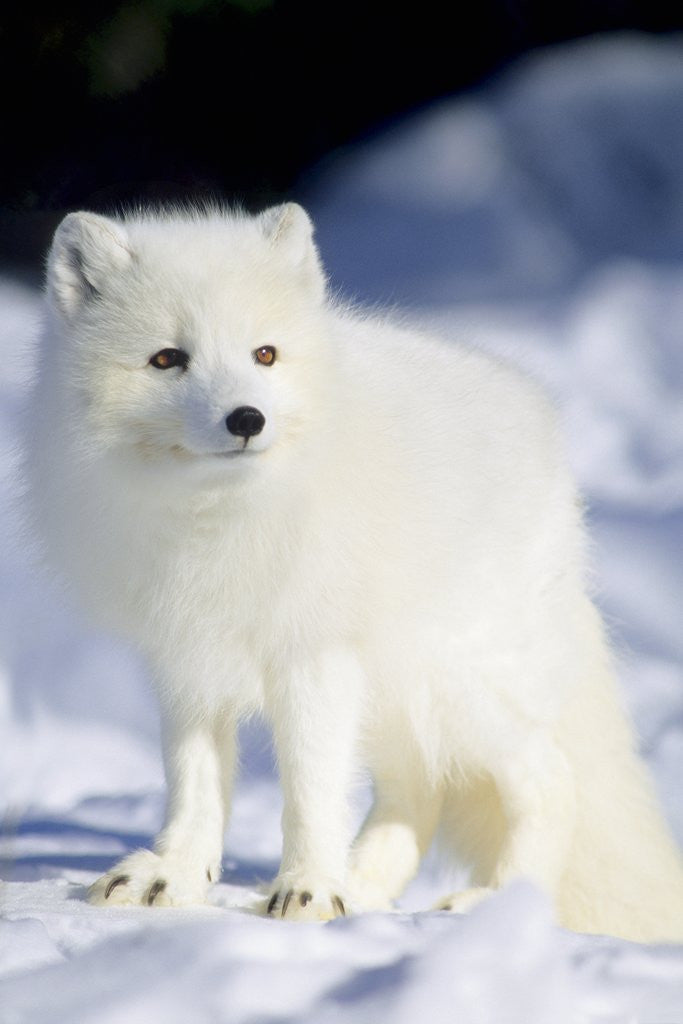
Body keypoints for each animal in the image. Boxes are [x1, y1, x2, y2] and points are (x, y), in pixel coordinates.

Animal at [28, 203, 683, 937]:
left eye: (264, 354)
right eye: (168, 359)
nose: (247, 418)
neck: (221, 518)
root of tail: (547, 439)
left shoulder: (314, 655)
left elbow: (310, 790)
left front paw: (309, 891)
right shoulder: (187, 662)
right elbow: (193, 785)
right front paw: (175, 875)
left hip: (454, 684)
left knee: (550, 778)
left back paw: (495, 904)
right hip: (399, 695)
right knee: (417, 793)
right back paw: (367, 892)